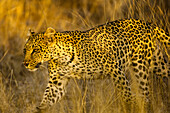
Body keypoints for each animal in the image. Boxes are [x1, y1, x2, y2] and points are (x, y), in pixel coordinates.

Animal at [23, 18, 169, 111]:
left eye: (35, 50)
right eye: (25, 50)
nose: (25, 64)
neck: (60, 57)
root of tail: (147, 23)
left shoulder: (114, 69)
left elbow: (126, 93)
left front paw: (134, 102)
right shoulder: (57, 82)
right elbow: (47, 97)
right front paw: (40, 108)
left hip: (140, 65)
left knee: (146, 92)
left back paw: (146, 104)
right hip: (157, 63)